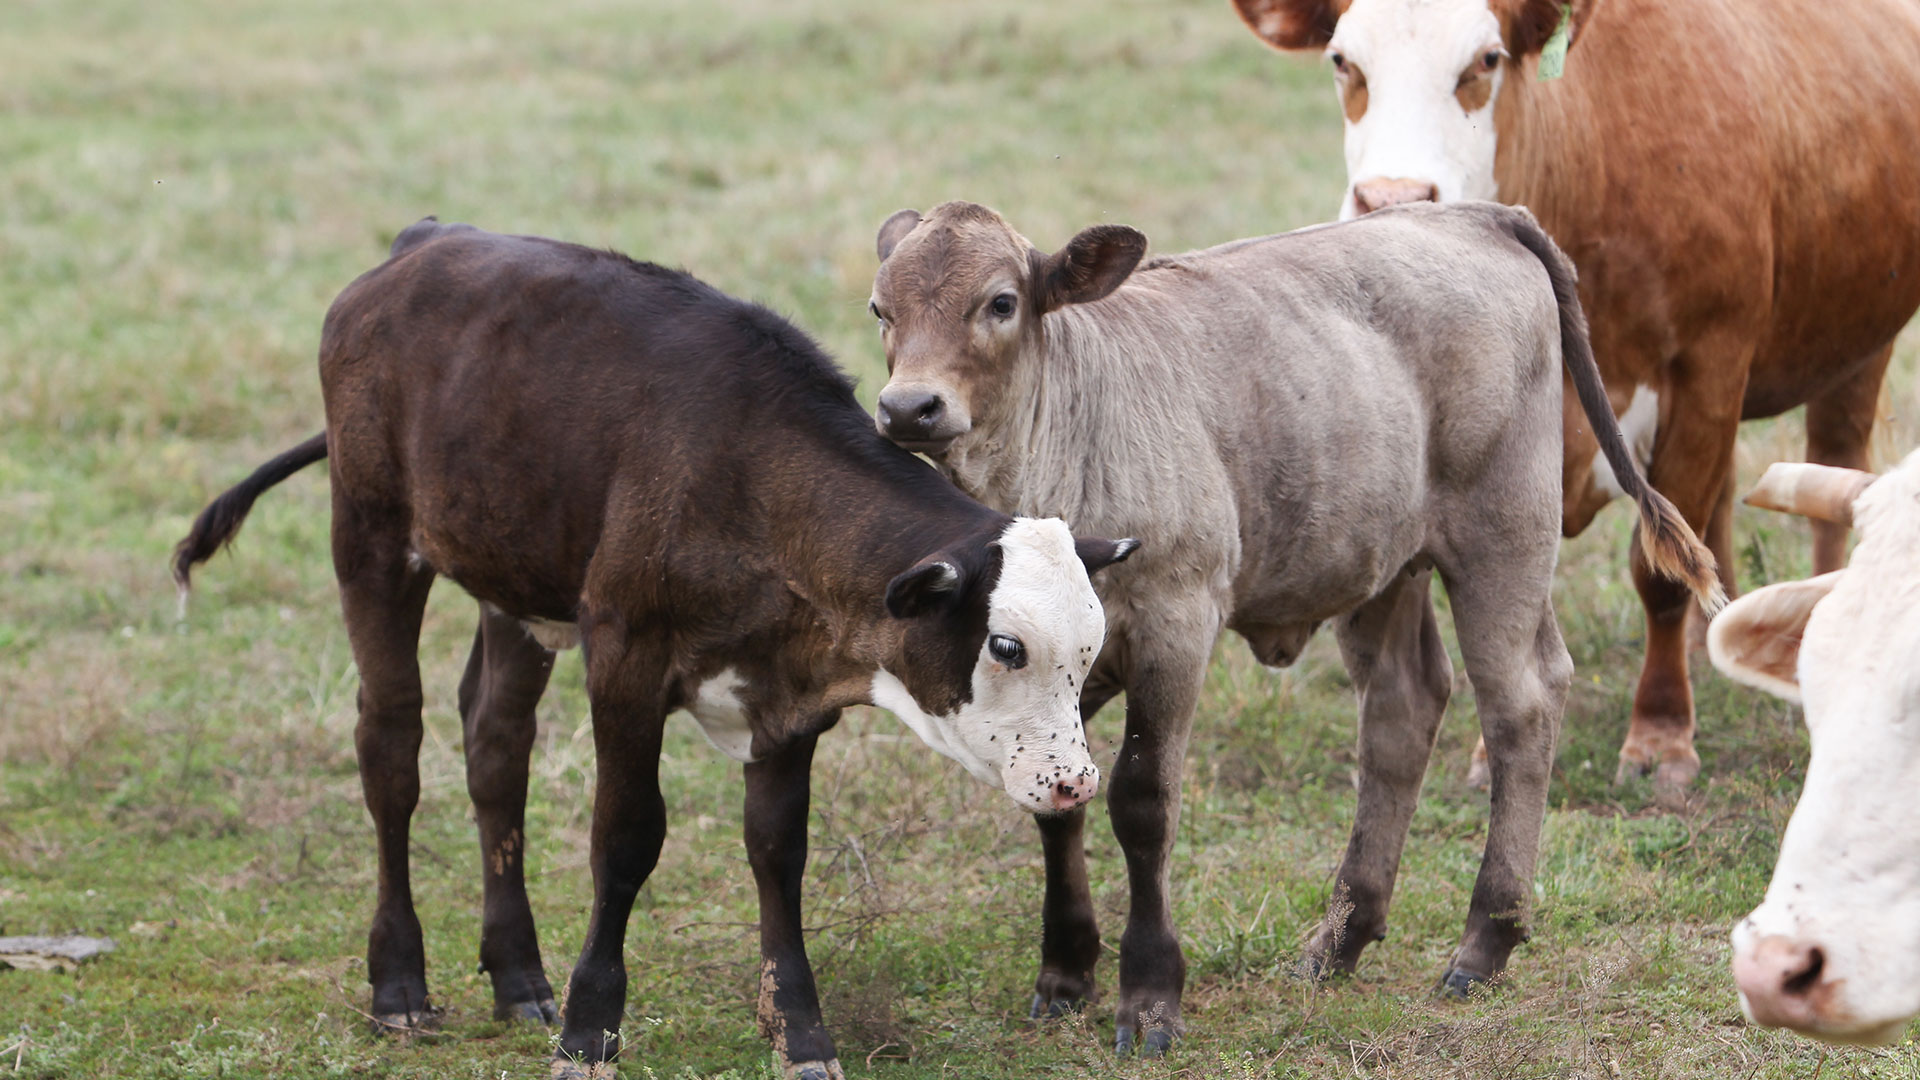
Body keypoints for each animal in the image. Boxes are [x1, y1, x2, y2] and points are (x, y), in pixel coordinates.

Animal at [172, 219, 1128, 1076]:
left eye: (1090, 649)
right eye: (1006, 645)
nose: (1074, 782)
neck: (744, 473)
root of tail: (421, 243)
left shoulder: (787, 699)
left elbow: (778, 853)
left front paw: (801, 1035)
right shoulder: (624, 659)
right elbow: (627, 838)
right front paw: (589, 1031)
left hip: (516, 584)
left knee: (496, 746)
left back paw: (518, 975)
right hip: (372, 540)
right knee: (391, 746)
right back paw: (399, 983)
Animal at [871, 197, 1728, 1045]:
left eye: (1000, 303)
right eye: (882, 309)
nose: (909, 406)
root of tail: (1477, 214)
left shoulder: (1175, 623)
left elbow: (1142, 801)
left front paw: (1148, 994)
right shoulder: (1042, 678)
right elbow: (1053, 800)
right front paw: (1064, 973)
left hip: (1504, 536)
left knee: (1522, 702)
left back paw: (1484, 942)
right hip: (1384, 562)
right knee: (1403, 709)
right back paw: (1339, 940)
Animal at [1228, 0, 1920, 791]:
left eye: (1486, 60)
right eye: (1343, 60)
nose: (1391, 200)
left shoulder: (1709, 368)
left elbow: (1659, 577)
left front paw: (1661, 735)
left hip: (1859, 345)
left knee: (1832, 463)